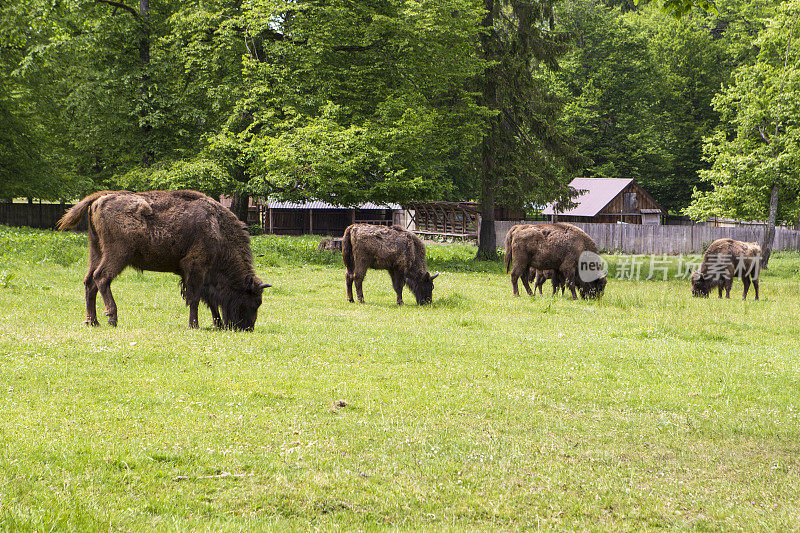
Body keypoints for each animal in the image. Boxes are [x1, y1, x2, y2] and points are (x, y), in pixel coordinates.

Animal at [56, 187, 270, 328]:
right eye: (254, 301)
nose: (247, 328)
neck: (217, 228)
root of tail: (101, 198)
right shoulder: (195, 267)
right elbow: (195, 298)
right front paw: (194, 325)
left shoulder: (202, 274)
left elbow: (208, 299)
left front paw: (216, 324)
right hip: (117, 255)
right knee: (101, 278)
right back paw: (112, 318)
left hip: (96, 251)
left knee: (89, 282)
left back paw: (92, 321)